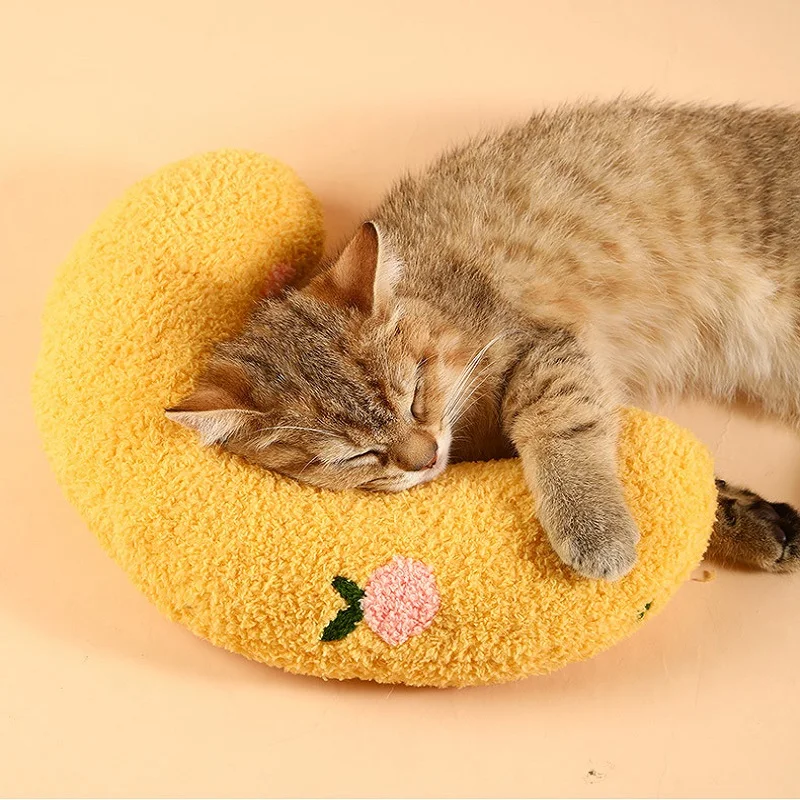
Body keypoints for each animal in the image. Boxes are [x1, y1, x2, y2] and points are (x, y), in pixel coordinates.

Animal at [166, 97, 796, 580]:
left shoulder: (547, 348)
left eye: (416, 393)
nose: (424, 459)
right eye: (353, 456)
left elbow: (557, 423)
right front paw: (757, 527)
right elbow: (701, 494)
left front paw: (595, 529)